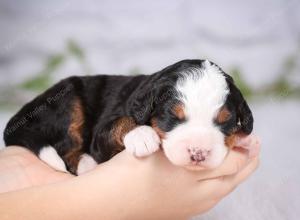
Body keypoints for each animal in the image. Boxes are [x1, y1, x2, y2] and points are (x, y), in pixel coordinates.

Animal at [2, 59, 255, 174]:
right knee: (66, 148)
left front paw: (244, 139)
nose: (198, 153)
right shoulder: (101, 135)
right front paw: (141, 134)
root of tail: (21, 115)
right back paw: (87, 165)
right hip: (69, 101)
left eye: (224, 121)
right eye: (172, 117)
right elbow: (120, 123)